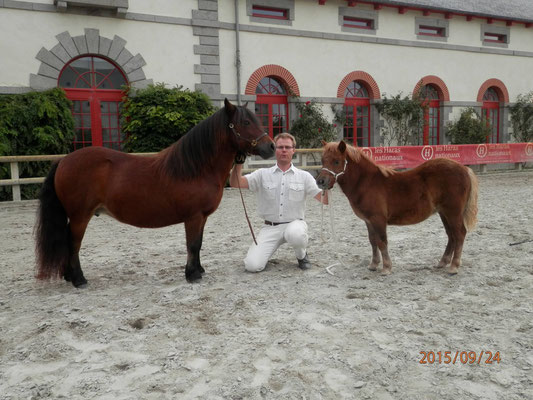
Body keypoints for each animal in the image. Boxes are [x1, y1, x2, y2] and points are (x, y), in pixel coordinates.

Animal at [34, 100, 274, 288]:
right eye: (246, 122)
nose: (271, 146)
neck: (197, 167)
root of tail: (63, 160)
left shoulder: (202, 218)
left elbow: (199, 243)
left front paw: (199, 269)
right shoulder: (193, 217)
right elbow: (192, 244)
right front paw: (192, 275)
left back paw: (68, 276)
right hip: (80, 216)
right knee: (73, 243)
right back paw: (78, 279)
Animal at [316, 141, 478, 276]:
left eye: (336, 161)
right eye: (322, 160)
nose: (321, 181)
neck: (367, 182)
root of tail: (464, 169)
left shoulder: (378, 219)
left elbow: (382, 242)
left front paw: (386, 268)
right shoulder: (368, 221)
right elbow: (373, 241)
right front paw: (373, 264)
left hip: (453, 213)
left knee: (459, 234)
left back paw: (454, 266)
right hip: (444, 213)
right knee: (451, 235)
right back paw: (443, 262)